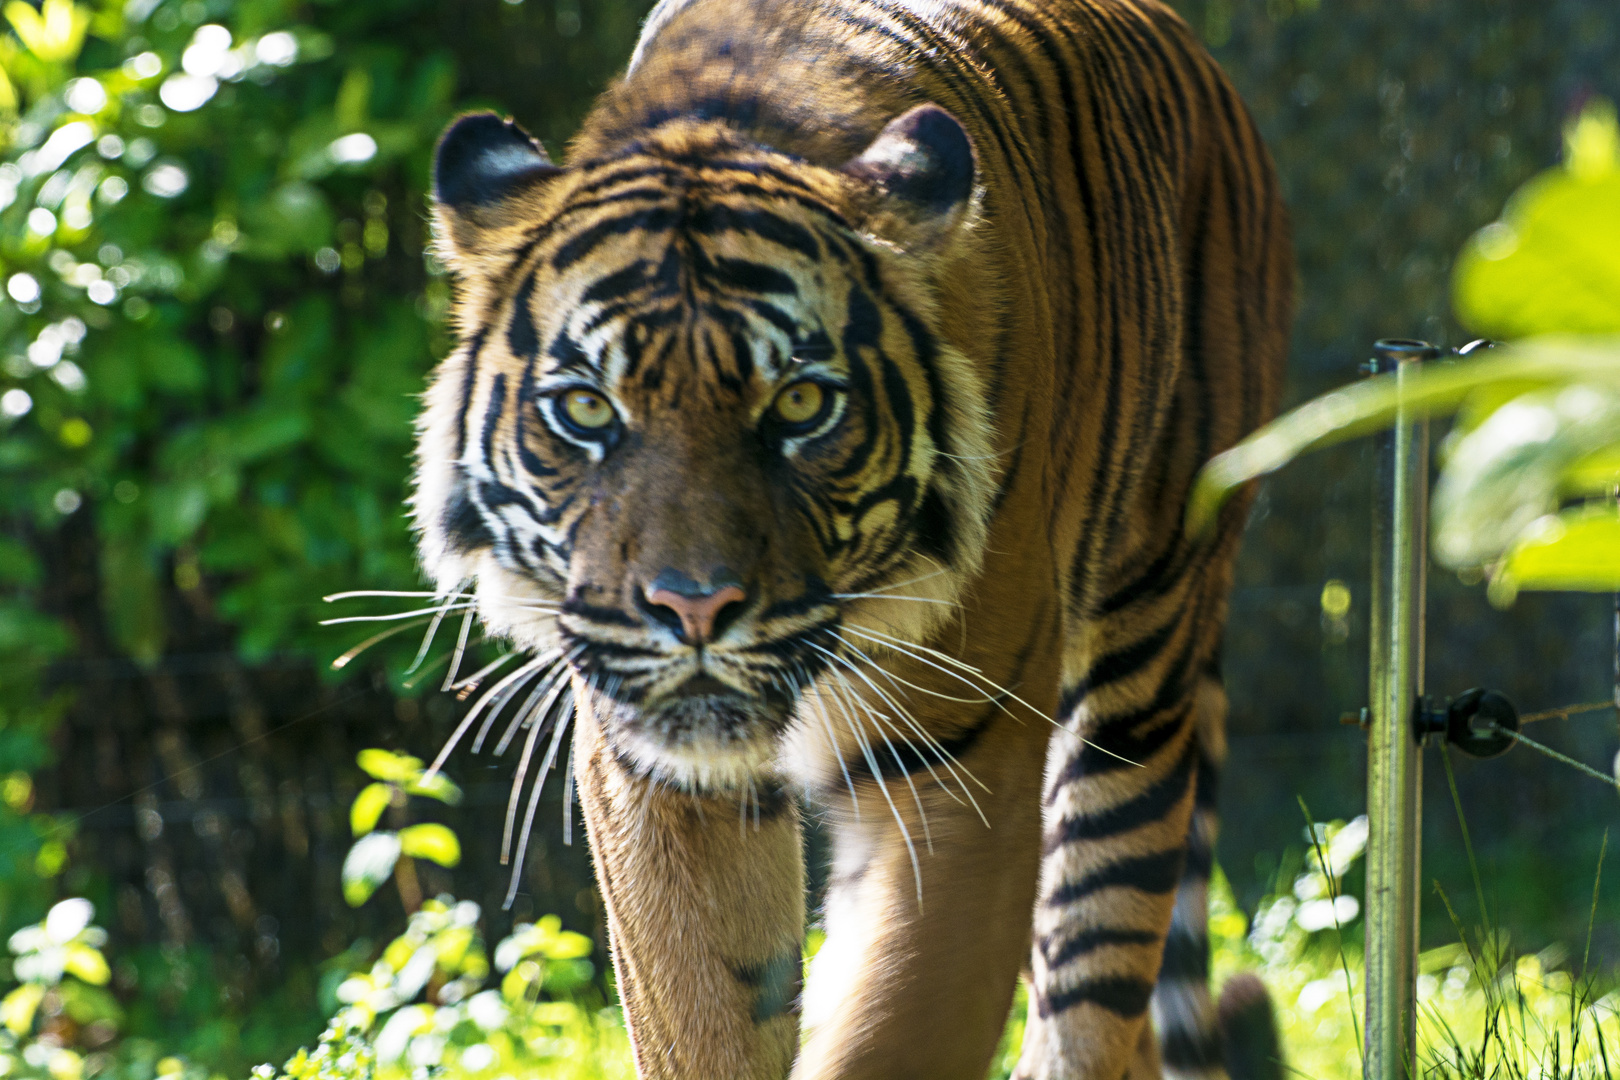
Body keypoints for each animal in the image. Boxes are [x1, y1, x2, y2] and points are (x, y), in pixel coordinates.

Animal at [408, 0, 1289, 1075]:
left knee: (1097, 973)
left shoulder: (960, 766)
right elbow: (706, 1010)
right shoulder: (652, 773)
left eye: (799, 405)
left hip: (1146, 655)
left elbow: (901, 1024)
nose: (692, 606)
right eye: (586, 408)